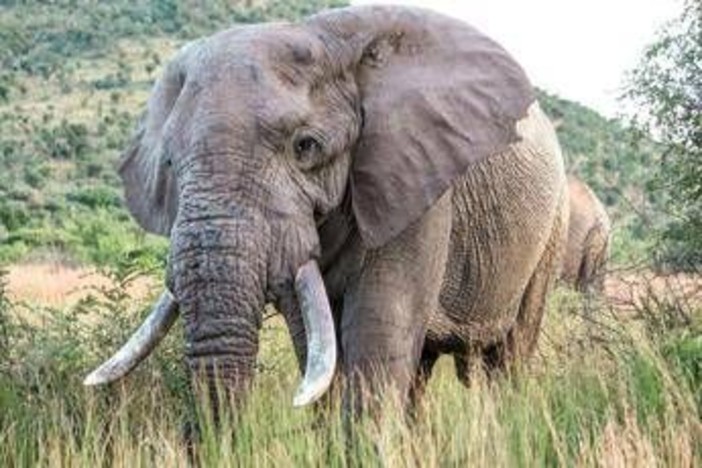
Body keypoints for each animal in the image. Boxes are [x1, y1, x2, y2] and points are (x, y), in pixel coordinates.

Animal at [83, 5, 569, 423]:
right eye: (169, 163)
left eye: (306, 147)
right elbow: (316, 344)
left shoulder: (414, 180)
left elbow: (376, 335)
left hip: (553, 228)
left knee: (509, 357)